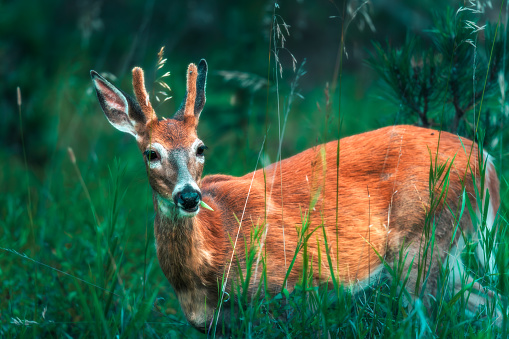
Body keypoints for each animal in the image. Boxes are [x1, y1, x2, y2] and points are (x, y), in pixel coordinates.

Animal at [90, 59, 500, 334]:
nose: (189, 196)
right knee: (491, 304)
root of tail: (487, 162)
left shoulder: (289, 290)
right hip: (445, 254)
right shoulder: (212, 325)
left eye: (200, 147)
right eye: (151, 153)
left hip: (423, 244)